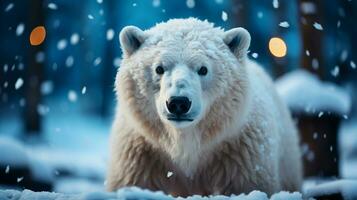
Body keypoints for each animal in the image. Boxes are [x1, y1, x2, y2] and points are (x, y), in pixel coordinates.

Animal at [107, 18, 302, 197]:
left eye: (203, 69)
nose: (178, 103)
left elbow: (246, 186)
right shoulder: (141, 154)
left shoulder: (240, 154)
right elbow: (136, 182)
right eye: (159, 68)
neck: (185, 143)